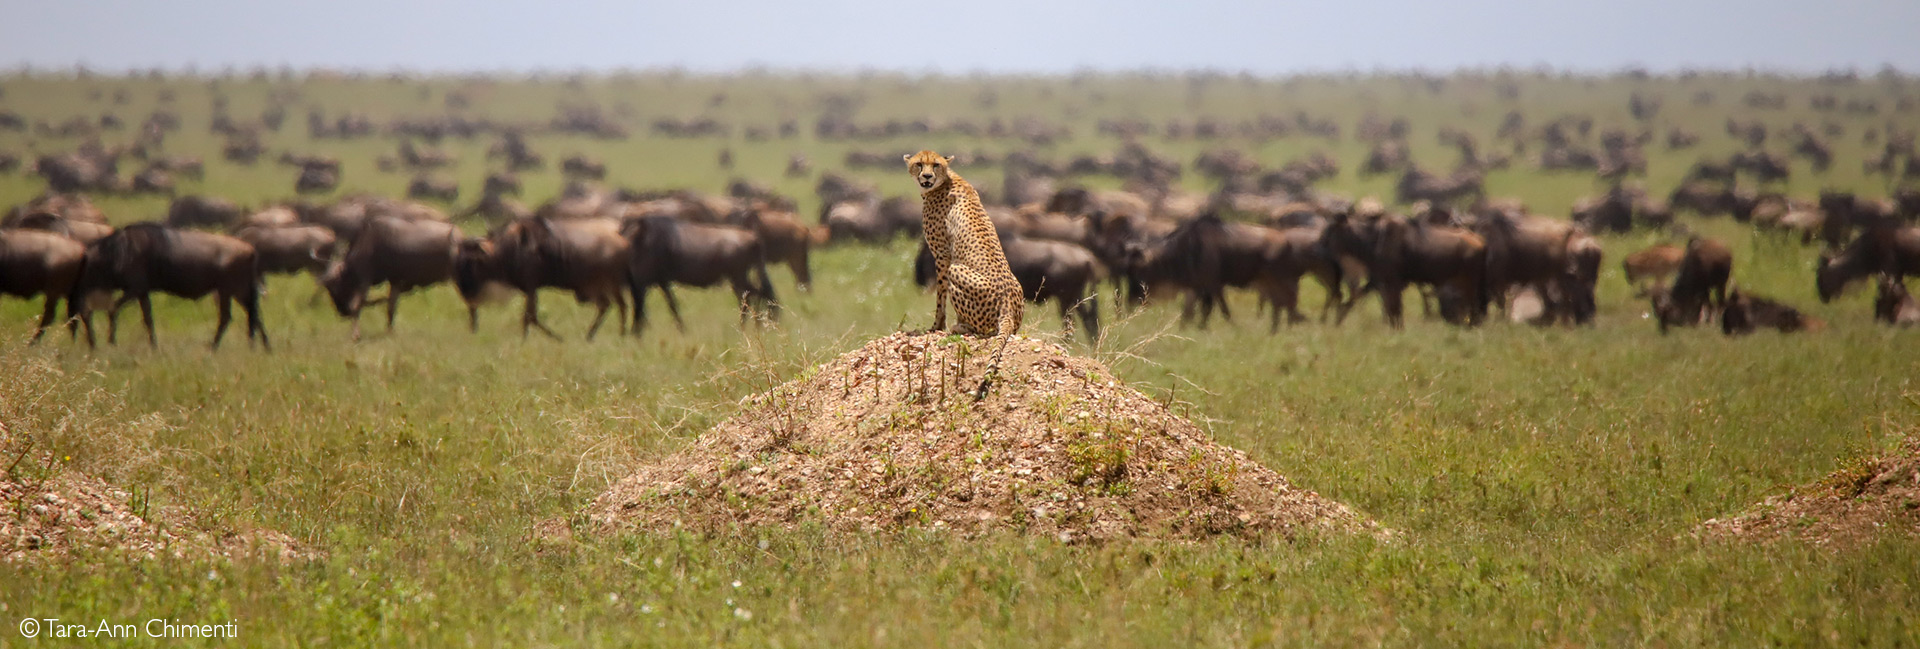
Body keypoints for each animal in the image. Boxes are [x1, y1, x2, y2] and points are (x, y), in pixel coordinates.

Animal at [906, 149, 1029, 397]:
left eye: (935, 165)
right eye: (919, 164)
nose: (926, 177)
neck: (947, 179)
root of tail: (1009, 309)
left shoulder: (943, 256)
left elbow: (940, 297)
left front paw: (937, 326)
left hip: (956, 269)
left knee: (985, 329)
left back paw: (961, 326)